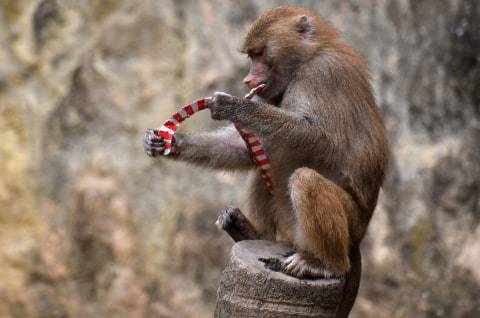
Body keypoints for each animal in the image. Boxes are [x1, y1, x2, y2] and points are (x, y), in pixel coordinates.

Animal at [142, 6, 386, 316]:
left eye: (259, 54)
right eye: (251, 56)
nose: (248, 80)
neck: (309, 57)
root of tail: (357, 241)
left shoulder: (323, 74)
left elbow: (317, 137)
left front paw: (233, 106)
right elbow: (247, 150)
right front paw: (168, 143)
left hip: (345, 225)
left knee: (304, 179)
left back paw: (322, 265)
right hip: (292, 228)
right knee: (263, 170)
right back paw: (249, 231)